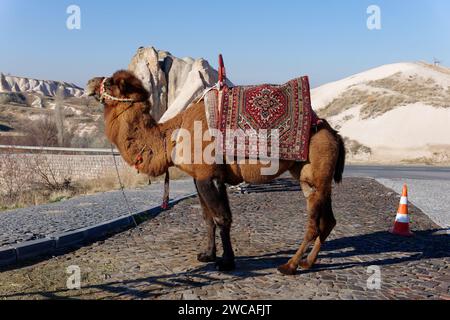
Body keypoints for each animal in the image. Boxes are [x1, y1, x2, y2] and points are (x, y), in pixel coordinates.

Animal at [86, 70, 346, 276]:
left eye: (110, 82)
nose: (90, 82)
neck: (173, 136)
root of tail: (334, 134)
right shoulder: (205, 178)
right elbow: (208, 218)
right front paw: (207, 255)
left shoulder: (206, 176)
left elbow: (222, 218)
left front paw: (227, 262)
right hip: (310, 178)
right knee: (328, 220)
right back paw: (308, 263)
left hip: (317, 170)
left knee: (314, 224)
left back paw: (290, 266)